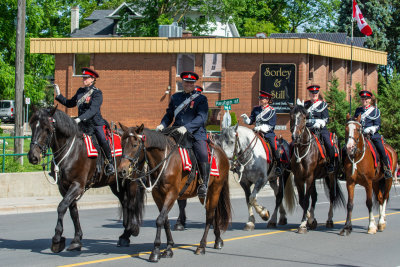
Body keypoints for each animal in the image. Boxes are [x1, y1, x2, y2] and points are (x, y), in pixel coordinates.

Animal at [27, 107, 145, 253]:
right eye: (32, 126)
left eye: (47, 129)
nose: (33, 156)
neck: (71, 149)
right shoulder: (64, 187)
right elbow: (73, 211)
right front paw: (77, 240)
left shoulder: (77, 185)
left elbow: (61, 207)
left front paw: (57, 238)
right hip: (114, 183)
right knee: (124, 201)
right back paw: (125, 234)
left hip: (131, 180)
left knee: (131, 203)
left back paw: (132, 229)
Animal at [117, 125, 233, 264]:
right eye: (122, 144)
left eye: (135, 145)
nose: (122, 171)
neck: (164, 161)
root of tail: (221, 152)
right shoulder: (158, 196)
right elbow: (165, 220)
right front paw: (168, 248)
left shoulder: (171, 194)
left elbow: (159, 220)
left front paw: (155, 251)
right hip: (206, 195)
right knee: (214, 213)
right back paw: (218, 240)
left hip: (215, 189)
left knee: (210, 216)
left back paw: (202, 246)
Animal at [290, 103, 346, 233]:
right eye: (292, 117)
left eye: (304, 118)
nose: (295, 136)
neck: (302, 150)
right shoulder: (298, 178)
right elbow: (302, 200)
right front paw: (310, 220)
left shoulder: (309, 177)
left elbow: (306, 200)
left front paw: (303, 224)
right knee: (315, 196)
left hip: (331, 175)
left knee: (332, 195)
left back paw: (329, 220)